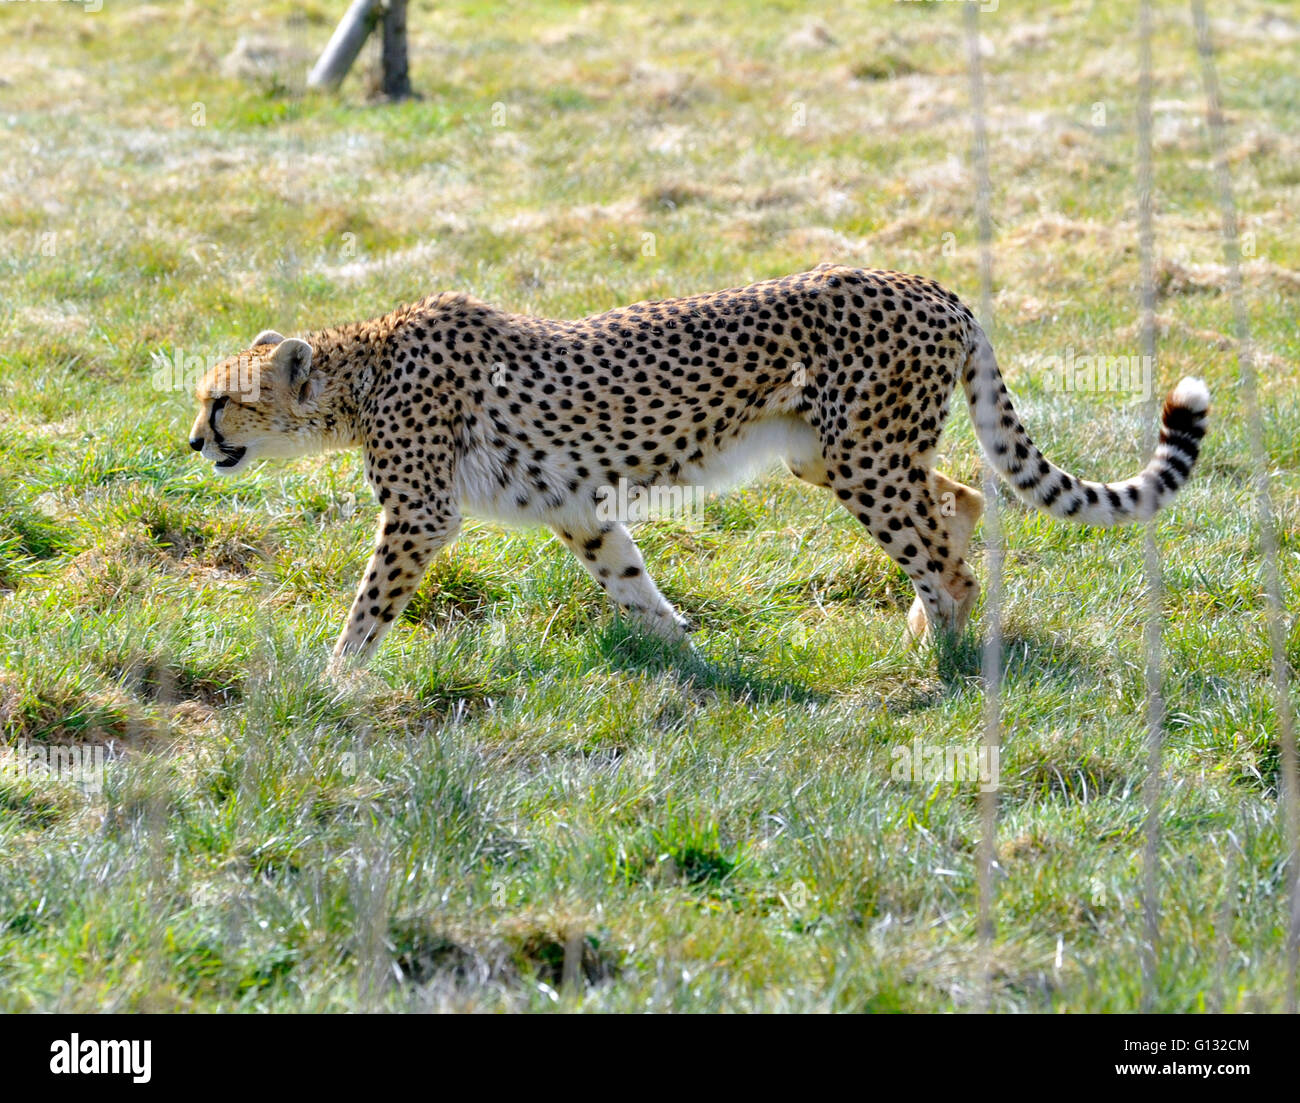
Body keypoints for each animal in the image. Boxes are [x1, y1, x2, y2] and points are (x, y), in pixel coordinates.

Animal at [185, 265, 1206, 671]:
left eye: (220, 400)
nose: (193, 441)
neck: (359, 374)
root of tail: (931, 286)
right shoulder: (578, 507)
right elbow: (631, 583)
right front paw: (687, 652)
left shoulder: (419, 516)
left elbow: (368, 605)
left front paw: (333, 681)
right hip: (829, 456)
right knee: (956, 500)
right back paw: (925, 631)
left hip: (863, 455)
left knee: (944, 552)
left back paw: (941, 658)